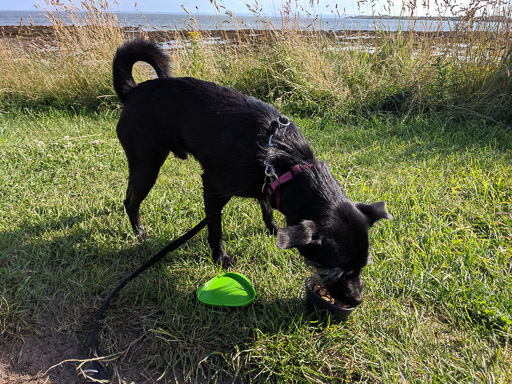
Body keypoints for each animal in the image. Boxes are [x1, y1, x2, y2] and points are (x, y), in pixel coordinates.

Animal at [113, 39, 392, 306]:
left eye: (363, 267)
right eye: (337, 270)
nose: (357, 299)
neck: (286, 157)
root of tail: (133, 92)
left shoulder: (267, 183)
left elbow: (266, 208)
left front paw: (274, 230)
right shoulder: (213, 188)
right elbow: (215, 228)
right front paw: (220, 258)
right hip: (146, 166)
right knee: (130, 201)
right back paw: (139, 233)